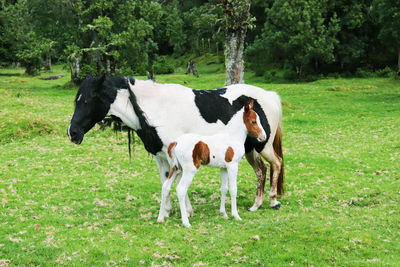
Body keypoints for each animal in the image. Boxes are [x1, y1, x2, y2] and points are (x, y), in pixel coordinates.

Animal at [66, 75, 284, 214]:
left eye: (86, 101)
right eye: (77, 100)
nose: (72, 133)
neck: (157, 108)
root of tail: (270, 96)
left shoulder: (179, 157)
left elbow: (178, 182)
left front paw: (186, 210)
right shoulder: (160, 156)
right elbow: (165, 181)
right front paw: (167, 210)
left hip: (263, 145)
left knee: (276, 163)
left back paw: (273, 200)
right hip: (250, 149)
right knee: (261, 170)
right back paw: (257, 204)